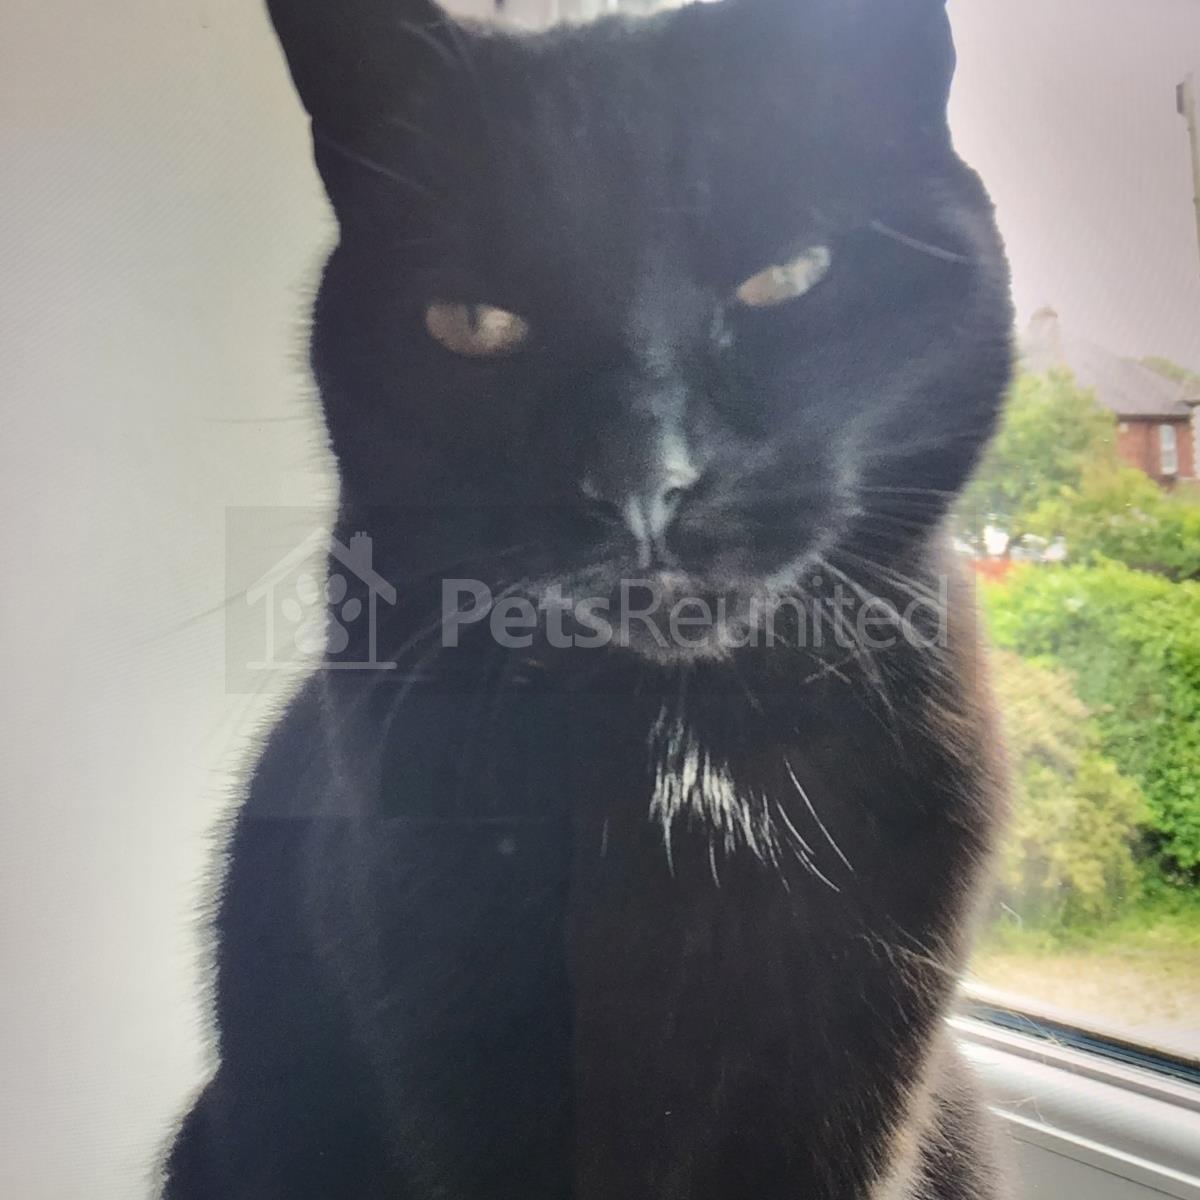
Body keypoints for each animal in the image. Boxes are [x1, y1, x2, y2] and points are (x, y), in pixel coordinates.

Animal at [163, 0, 1015, 1197]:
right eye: (474, 324)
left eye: (788, 275)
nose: (639, 474)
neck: (680, 761)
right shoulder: (456, 1028)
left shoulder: (850, 1057)